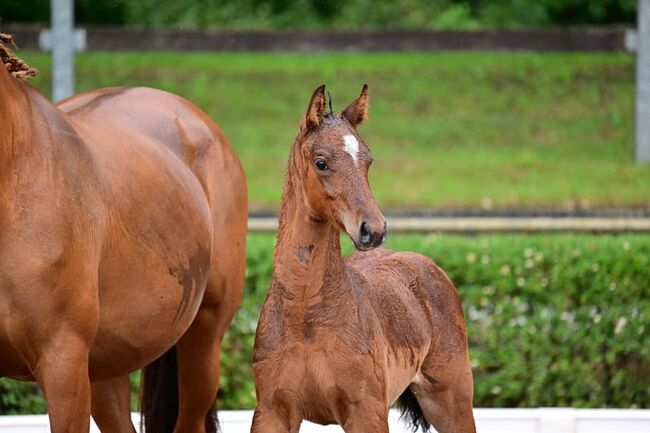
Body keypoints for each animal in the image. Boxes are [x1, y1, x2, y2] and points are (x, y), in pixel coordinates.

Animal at [251, 84, 474, 432]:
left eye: (368, 160)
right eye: (321, 162)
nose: (374, 229)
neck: (305, 317)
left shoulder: (365, 411)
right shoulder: (271, 412)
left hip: (451, 401)